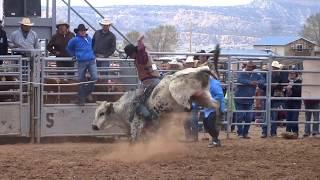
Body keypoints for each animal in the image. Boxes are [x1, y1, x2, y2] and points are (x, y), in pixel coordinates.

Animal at [91, 48, 219, 142]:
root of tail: (197, 70)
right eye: (95, 113)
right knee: (215, 104)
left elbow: (135, 142)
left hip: (176, 90)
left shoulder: (137, 126)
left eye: (102, 113)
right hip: (203, 96)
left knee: (188, 106)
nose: (94, 126)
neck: (125, 107)